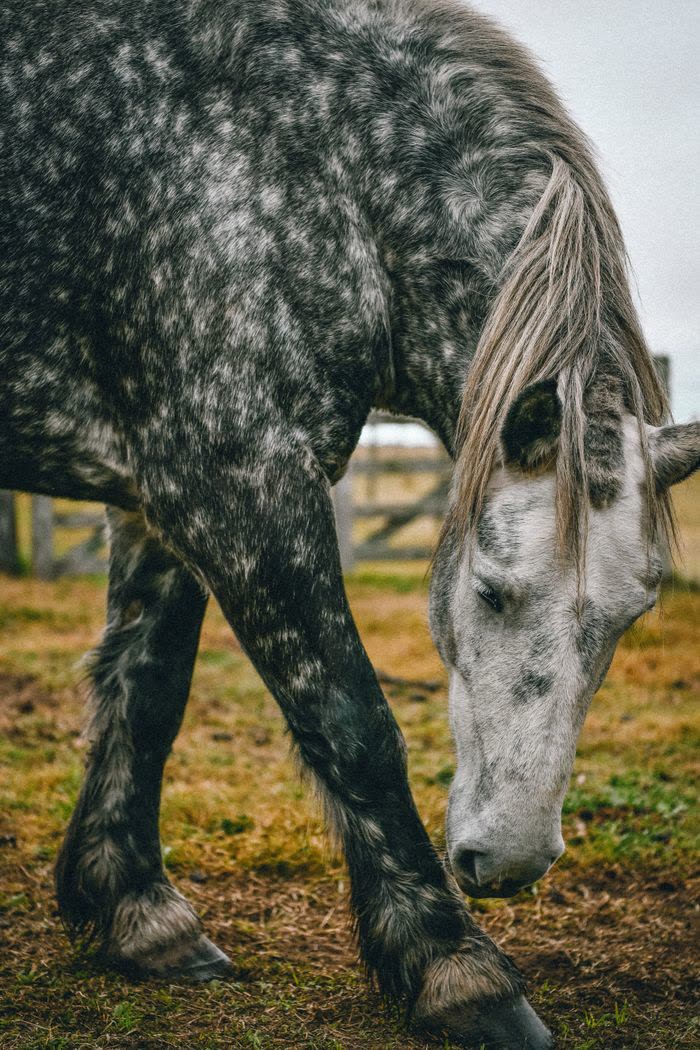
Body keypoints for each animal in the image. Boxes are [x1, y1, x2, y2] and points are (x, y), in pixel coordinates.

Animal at [1, 1, 698, 1046]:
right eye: (491, 592)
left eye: (633, 617)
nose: (513, 863)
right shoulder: (236, 482)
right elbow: (350, 717)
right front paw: (458, 971)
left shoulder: (163, 494)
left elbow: (146, 689)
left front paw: (137, 914)